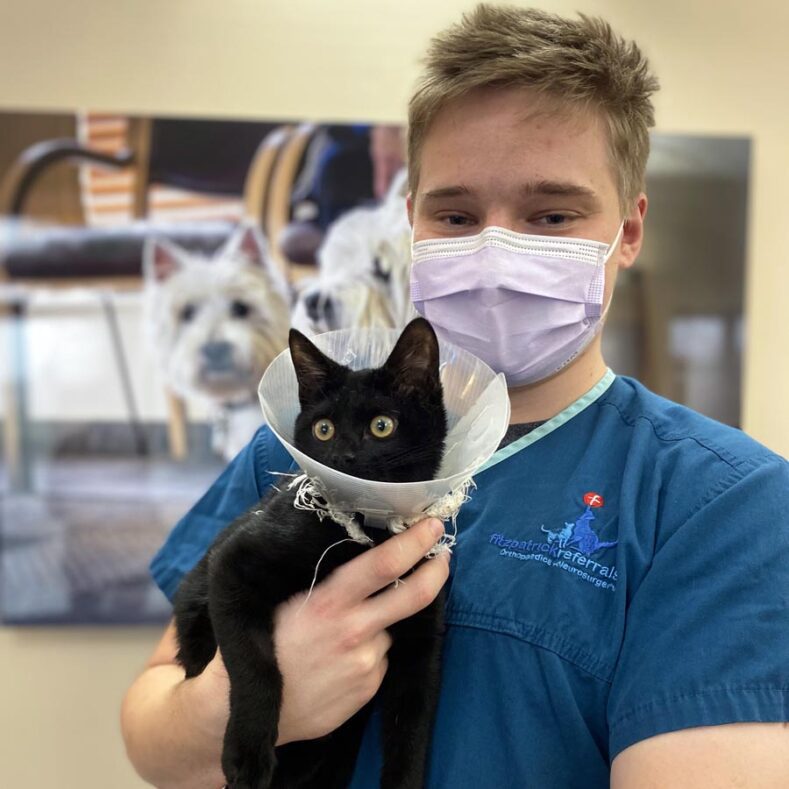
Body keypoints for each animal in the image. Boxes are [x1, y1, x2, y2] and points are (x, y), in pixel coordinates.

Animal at [174, 318, 450, 784]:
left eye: (382, 426)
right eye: (324, 430)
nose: (344, 456)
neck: (367, 533)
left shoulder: (422, 640)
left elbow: (411, 733)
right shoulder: (233, 566)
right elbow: (254, 666)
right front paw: (248, 755)